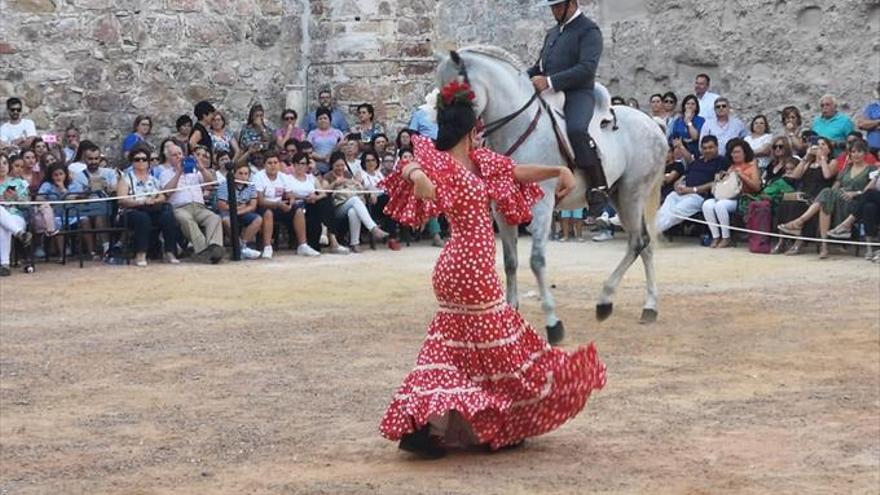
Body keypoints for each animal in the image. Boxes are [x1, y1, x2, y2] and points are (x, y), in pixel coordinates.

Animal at [434, 45, 668, 344]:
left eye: (459, 94)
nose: (442, 142)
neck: (519, 127)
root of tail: (652, 123)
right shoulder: (502, 207)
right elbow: (510, 262)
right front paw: (511, 314)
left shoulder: (543, 206)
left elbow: (536, 261)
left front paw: (553, 324)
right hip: (620, 196)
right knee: (645, 245)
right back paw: (649, 306)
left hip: (632, 194)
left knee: (638, 242)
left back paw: (606, 301)